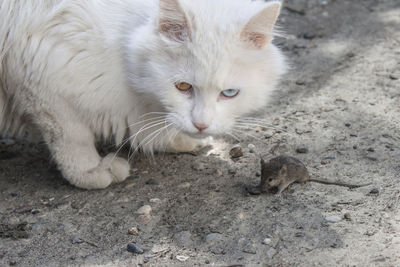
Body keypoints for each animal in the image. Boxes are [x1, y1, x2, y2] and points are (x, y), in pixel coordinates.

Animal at [0, 0, 288, 189]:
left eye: (229, 93)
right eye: (183, 87)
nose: (201, 124)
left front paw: (182, 140)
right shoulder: (40, 83)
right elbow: (73, 140)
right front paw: (91, 172)